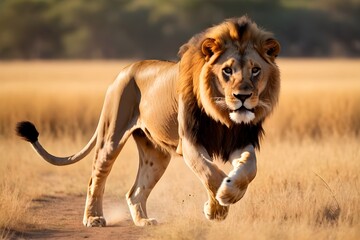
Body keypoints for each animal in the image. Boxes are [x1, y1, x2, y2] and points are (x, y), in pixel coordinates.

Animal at [16, 16, 282, 227]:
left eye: (255, 70)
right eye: (227, 70)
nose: (243, 96)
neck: (221, 114)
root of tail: (126, 68)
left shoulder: (241, 139)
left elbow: (249, 169)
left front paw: (228, 193)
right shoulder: (190, 142)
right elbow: (210, 173)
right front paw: (218, 205)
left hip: (156, 154)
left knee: (135, 192)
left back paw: (144, 220)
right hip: (110, 136)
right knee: (96, 178)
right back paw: (93, 218)